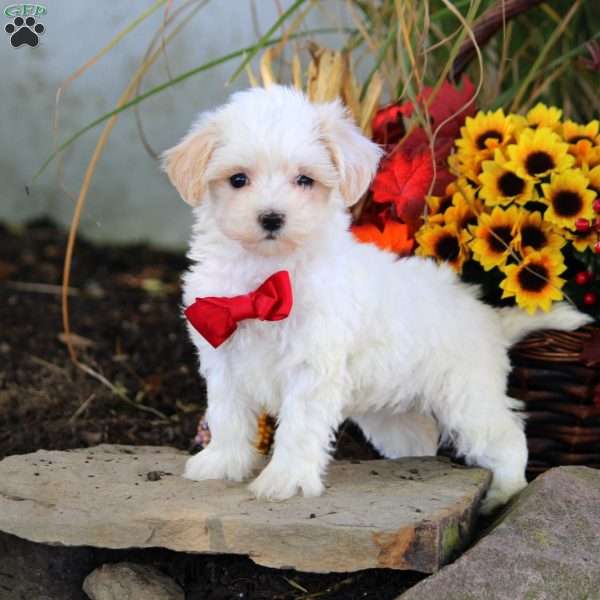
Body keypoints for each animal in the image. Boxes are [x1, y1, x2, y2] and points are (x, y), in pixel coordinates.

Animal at [163, 84, 592, 512]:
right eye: (238, 179)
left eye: (304, 179)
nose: (271, 218)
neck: (266, 276)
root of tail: (487, 317)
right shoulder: (222, 353)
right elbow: (227, 413)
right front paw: (222, 462)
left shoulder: (311, 367)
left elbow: (298, 426)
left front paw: (286, 478)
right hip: (395, 413)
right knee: (421, 436)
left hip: (468, 394)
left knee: (506, 437)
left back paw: (502, 494)